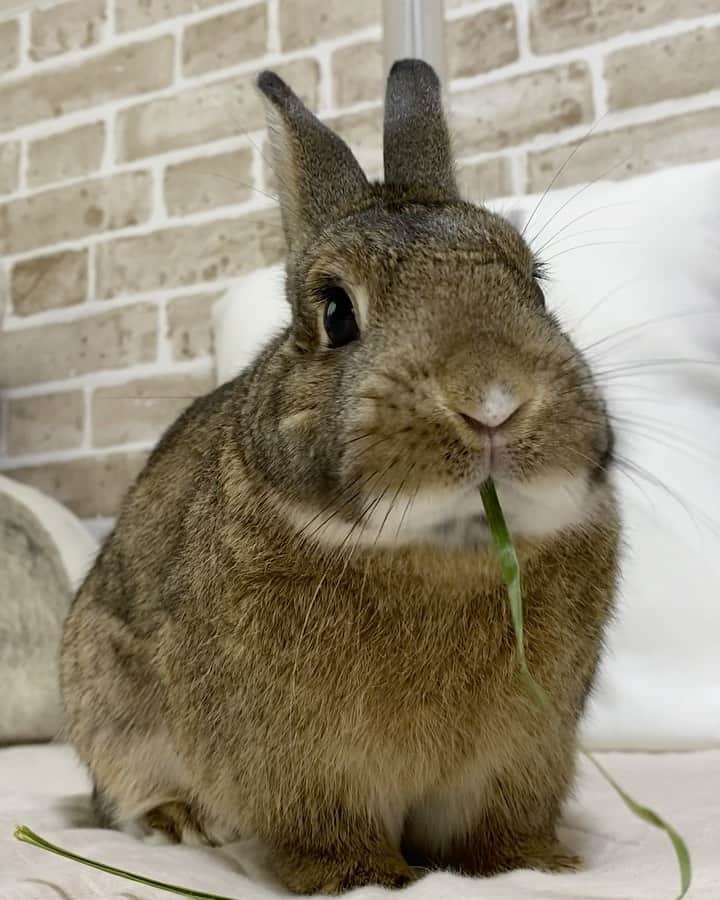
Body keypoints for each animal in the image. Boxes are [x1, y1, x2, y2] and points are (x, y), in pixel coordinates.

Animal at [60, 59, 620, 896]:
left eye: (537, 286)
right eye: (335, 313)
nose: (493, 399)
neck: (441, 552)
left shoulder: (520, 754)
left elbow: (494, 830)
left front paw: (537, 865)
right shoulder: (305, 766)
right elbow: (329, 831)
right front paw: (363, 876)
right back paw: (182, 820)